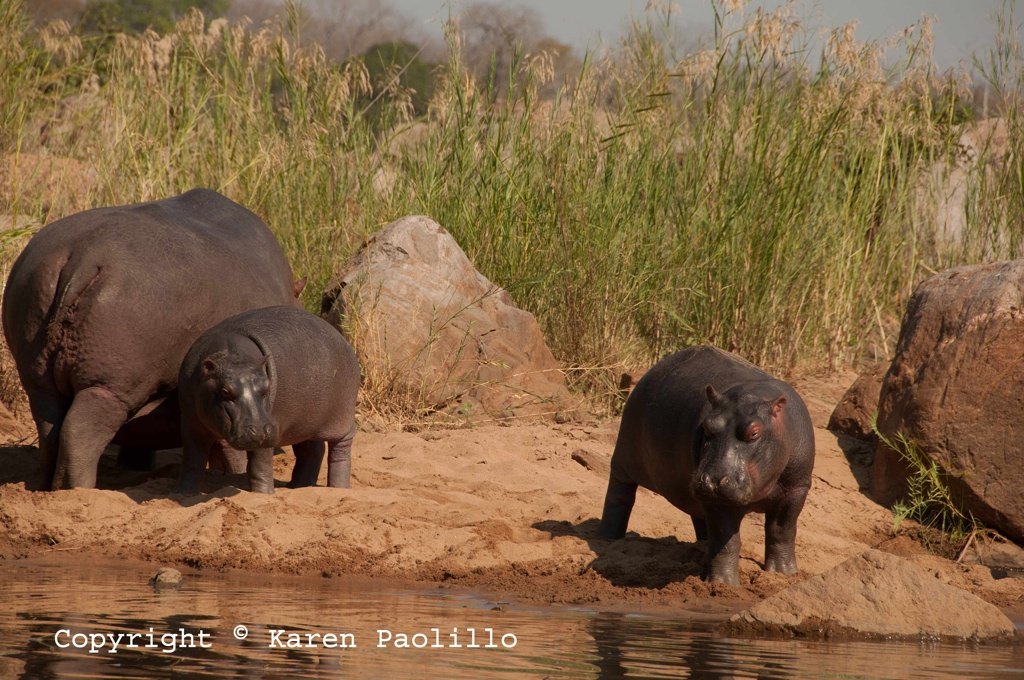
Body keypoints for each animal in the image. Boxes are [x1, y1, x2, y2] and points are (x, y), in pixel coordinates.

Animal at [2, 189, 301, 489]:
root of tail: (82, 258)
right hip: (109, 387)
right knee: (80, 431)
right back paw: (79, 490)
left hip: (40, 373)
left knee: (49, 429)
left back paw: (47, 489)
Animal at [175, 305, 359, 495]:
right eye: (225, 391)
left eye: (267, 386)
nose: (259, 430)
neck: (232, 355)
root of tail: (342, 338)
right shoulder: (191, 423)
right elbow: (192, 459)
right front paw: (184, 492)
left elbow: (260, 463)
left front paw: (263, 494)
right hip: (305, 422)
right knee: (313, 450)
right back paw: (298, 486)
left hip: (341, 420)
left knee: (341, 449)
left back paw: (339, 488)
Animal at [597, 346, 814, 585]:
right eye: (708, 427)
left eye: (754, 432)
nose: (712, 480)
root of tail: (654, 369)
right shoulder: (718, 500)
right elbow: (726, 541)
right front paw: (723, 584)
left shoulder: (796, 488)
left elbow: (782, 530)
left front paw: (784, 574)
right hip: (624, 458)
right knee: (619, 496)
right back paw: (608, 539)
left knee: (698, 517)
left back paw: (700, 547)